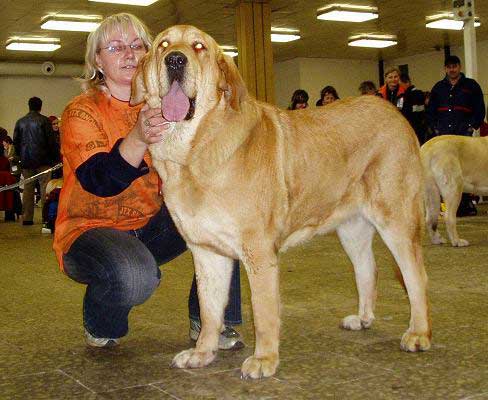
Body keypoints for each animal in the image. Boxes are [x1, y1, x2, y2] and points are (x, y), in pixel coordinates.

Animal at [131, 24, 430, 378]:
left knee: (416, 276)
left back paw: (418, 334)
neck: (194, 149)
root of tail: (395, 113)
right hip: (351, 228)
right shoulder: (207, 253)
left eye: (199, 46)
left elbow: (263, 313)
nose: (175, 59)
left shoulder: (258, 251)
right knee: (367, 269)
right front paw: (202, 353)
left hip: (395, 220)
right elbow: (209, 312)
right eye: (163, 44)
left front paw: (264, 360)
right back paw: (363, 318)